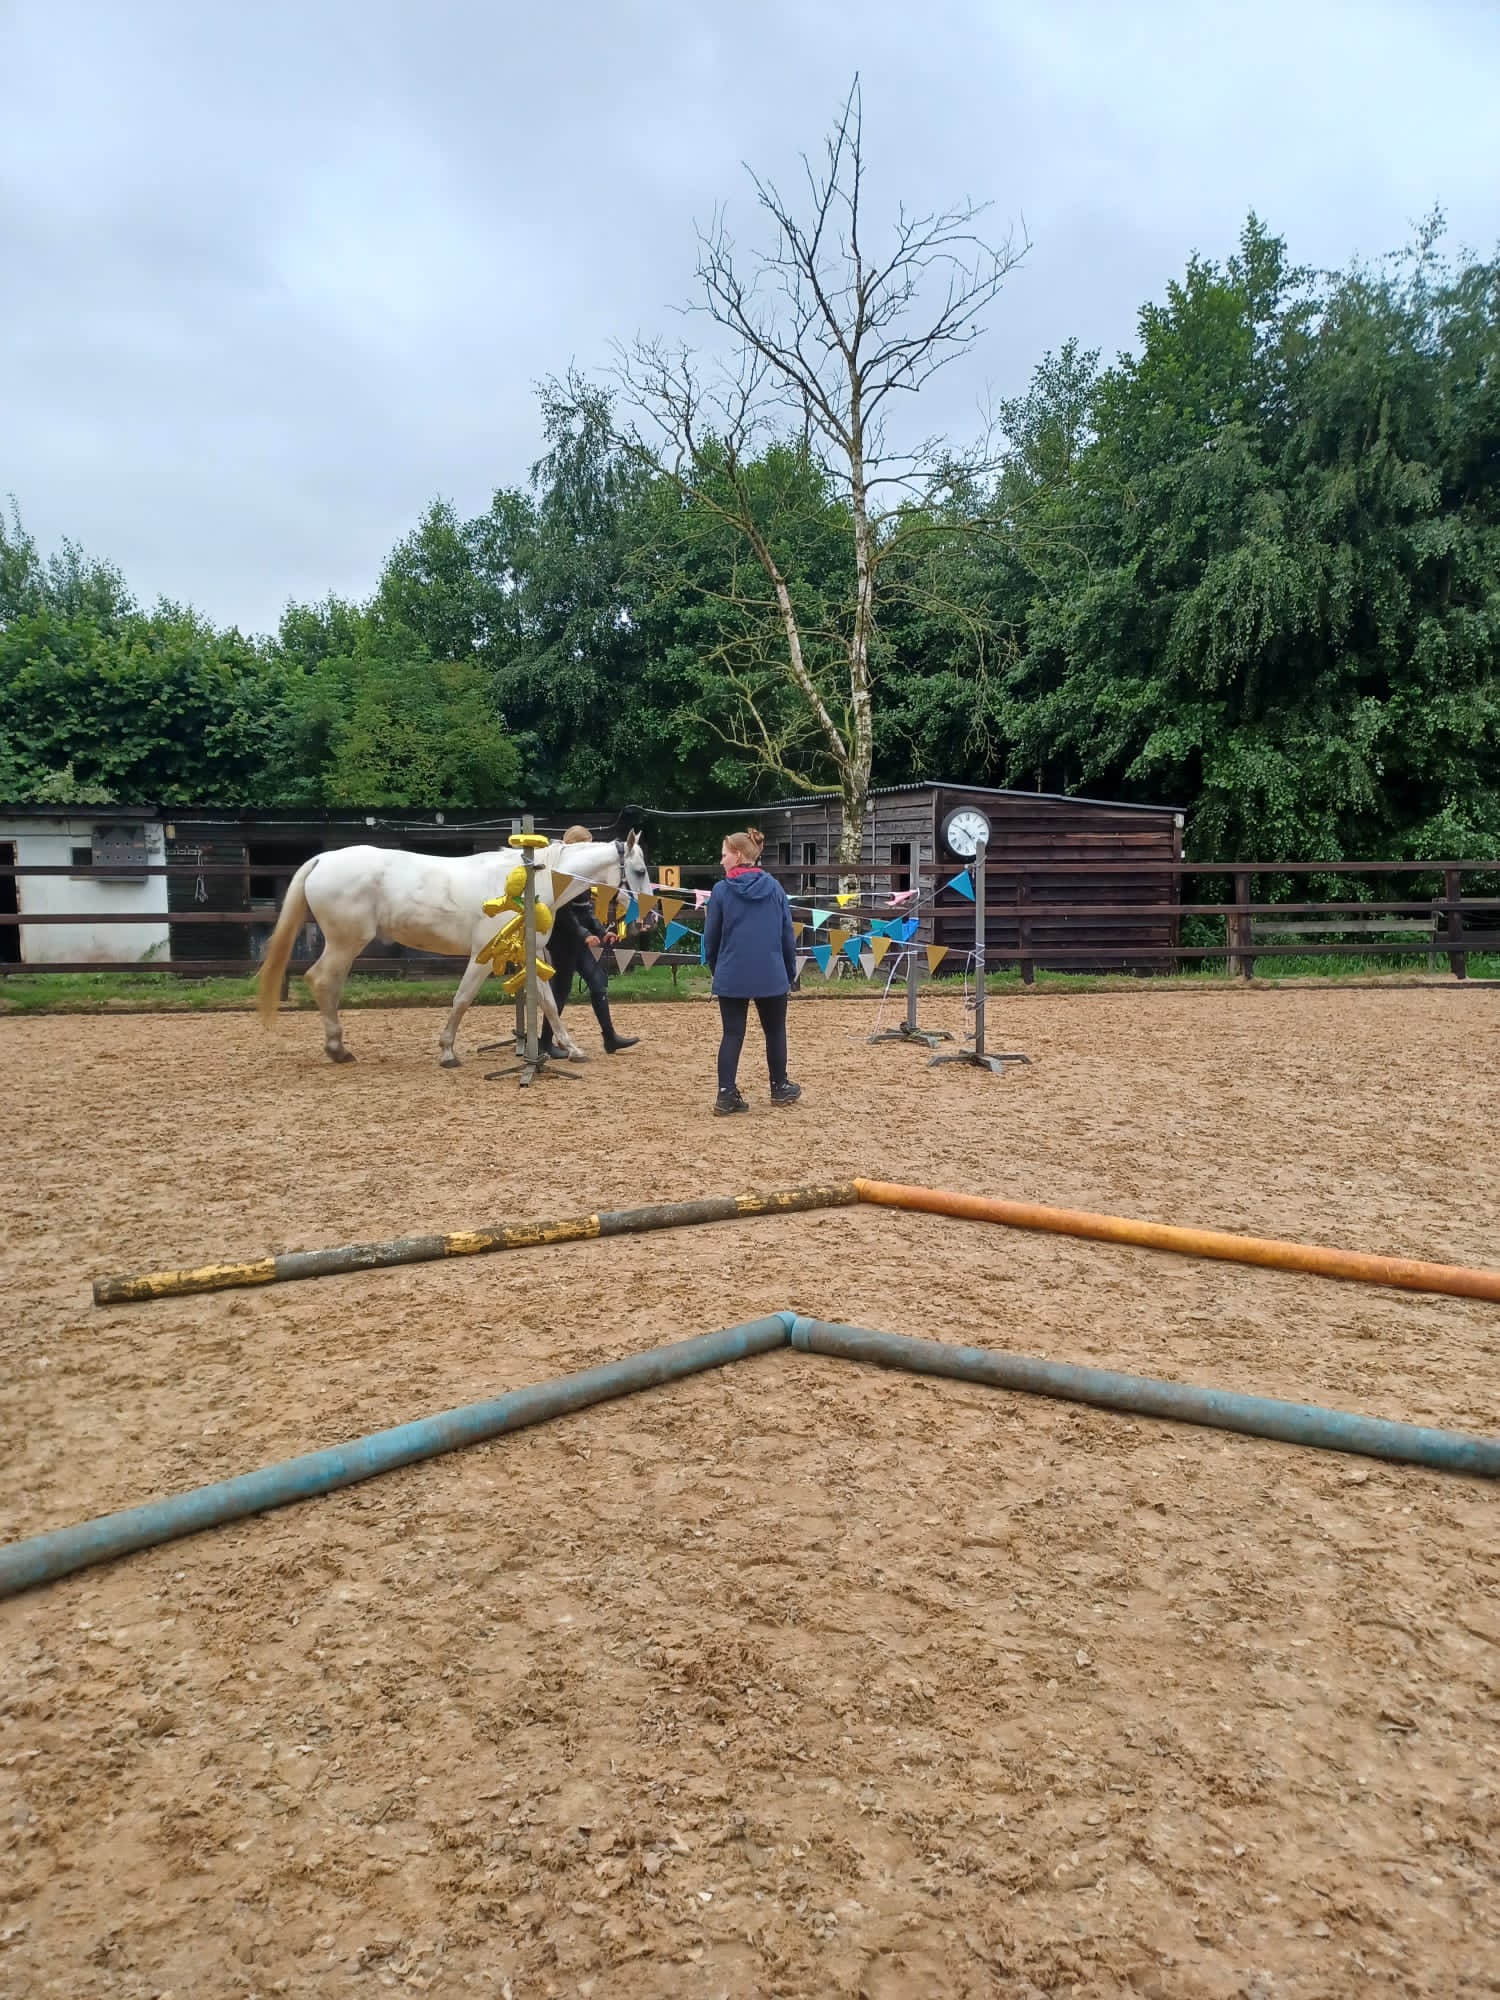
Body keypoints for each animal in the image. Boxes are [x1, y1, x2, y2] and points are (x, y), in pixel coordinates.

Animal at [254, 834, 653, 1067]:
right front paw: (447, 1052)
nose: (647, 918)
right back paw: (338, 1049)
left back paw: (339, 1047)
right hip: (345, 942)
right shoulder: (483, 954)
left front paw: (572, 1049)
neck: (530, 883)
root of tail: (323, 859)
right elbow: (462, 998)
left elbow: (549, 1004)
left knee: (328, 985)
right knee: (322, 981)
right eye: (638, 869)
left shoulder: (532, 956)